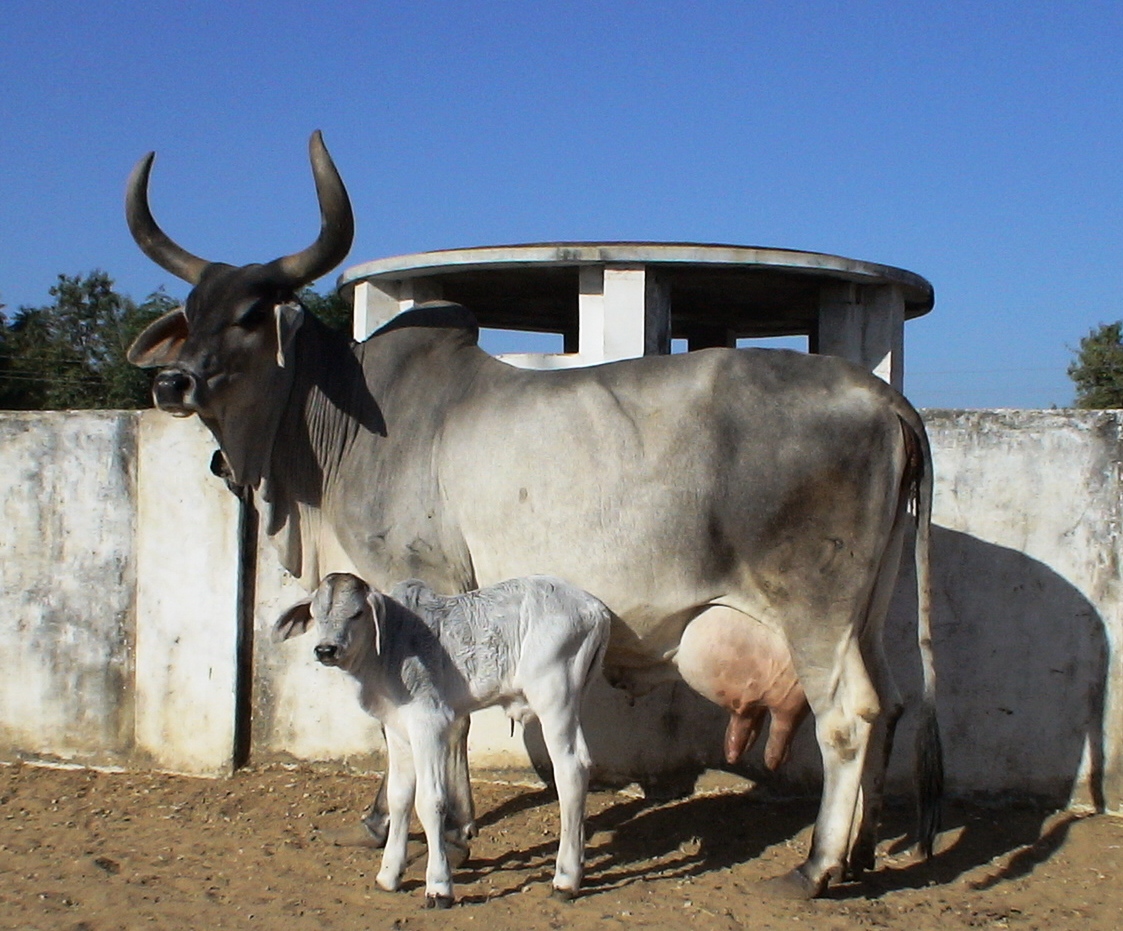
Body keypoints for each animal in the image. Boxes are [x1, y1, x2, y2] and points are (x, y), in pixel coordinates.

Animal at [276, 570, 615, 902]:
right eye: (316, 613)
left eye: (357, 613)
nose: (326, 649)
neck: (391, 645)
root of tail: (595, 608)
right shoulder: (398, 731)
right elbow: (399, 797)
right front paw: (389, 875)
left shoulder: (429, 724)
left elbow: (430, 800)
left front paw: (438, 885)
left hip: (554, 700)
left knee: (570, 769)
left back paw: (565, 880)